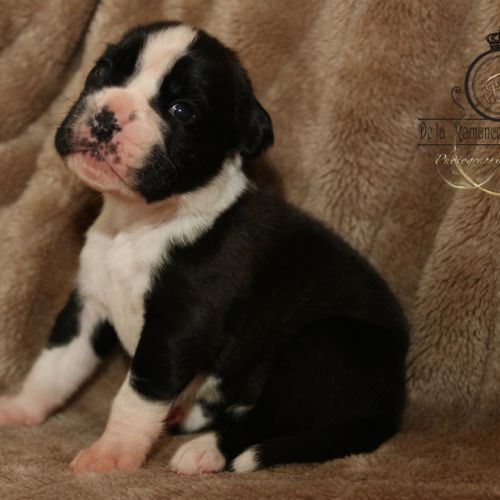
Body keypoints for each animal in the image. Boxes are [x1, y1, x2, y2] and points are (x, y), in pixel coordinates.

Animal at [0, 21, 409, 475]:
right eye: (103, 71)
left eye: (182, 111)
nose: (106, 119)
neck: (139, 223)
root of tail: (392, 406)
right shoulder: (89, 303)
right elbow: (55, 364)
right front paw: (21, 409)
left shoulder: (177, 328)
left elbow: (136, 393)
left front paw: (113, 451)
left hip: (321, 349)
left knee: (269, 419)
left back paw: (206, 450)